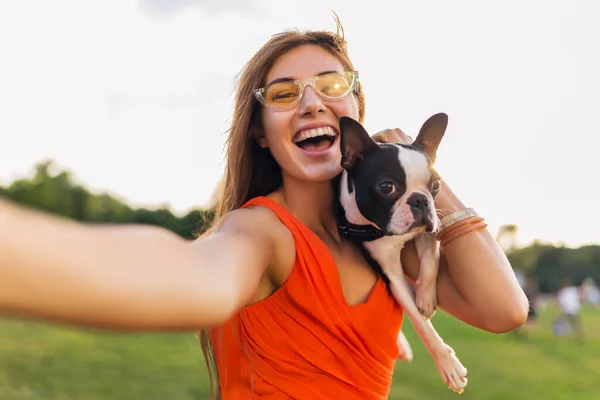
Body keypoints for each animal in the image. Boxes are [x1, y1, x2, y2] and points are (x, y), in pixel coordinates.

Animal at [332, 112, 468, 394]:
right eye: (387, 187)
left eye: (435, 185)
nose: (420, 199)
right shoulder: (391, 275)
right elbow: (420, 322)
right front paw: (448, 364)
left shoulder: (429, 229)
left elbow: (430, 259)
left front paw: (425, 297)